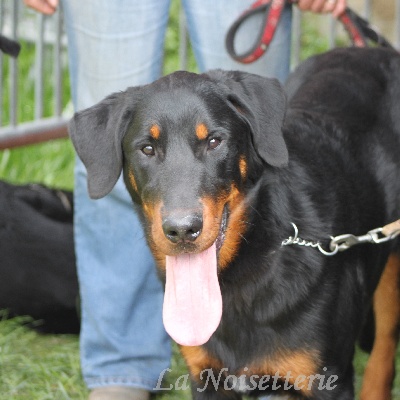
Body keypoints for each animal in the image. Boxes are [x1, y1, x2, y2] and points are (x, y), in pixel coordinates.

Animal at [68, 48, 400, 398]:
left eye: (214, 141)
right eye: (146, 148)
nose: (182, 229)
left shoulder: (328, 380)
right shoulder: (207, 376)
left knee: (384, 345)